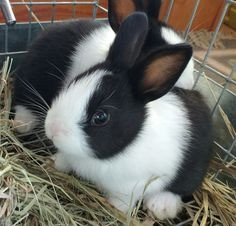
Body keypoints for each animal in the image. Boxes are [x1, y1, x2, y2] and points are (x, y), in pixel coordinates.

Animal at [43, 13, 213, 220]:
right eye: (72, 84)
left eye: (101, 117)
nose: (52, 129)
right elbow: (64, 160)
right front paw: (52, 163)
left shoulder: (132, 186)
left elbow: (122, 202)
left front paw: (114, 209)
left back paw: (161, 206)